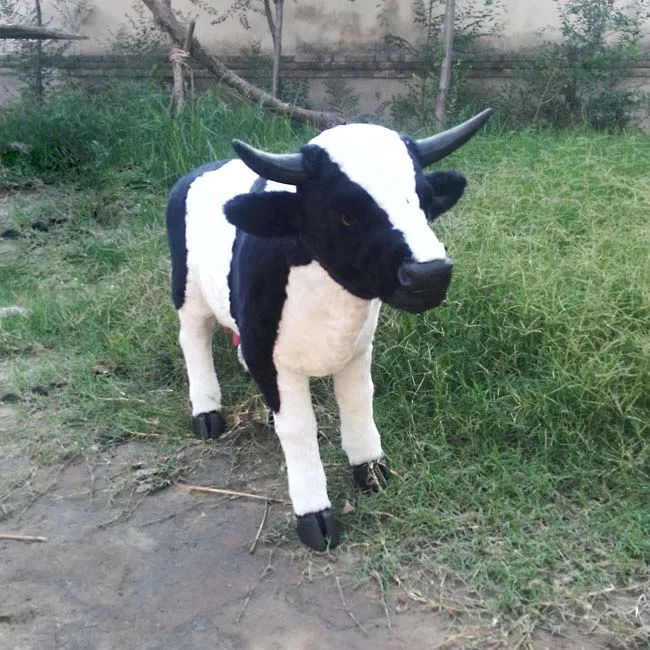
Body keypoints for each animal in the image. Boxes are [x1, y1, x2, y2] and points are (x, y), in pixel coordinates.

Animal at [166, 109, 493, 551]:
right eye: (346, 215)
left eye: (424, 201)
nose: (430, 275)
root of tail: (200, 169)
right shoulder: (272, 355)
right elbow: (299, 428)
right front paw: (314, 514)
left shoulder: (357, 347)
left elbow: (358, 403)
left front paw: (371, 471)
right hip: (187, 291)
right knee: (193, 338)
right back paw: (206, 411)